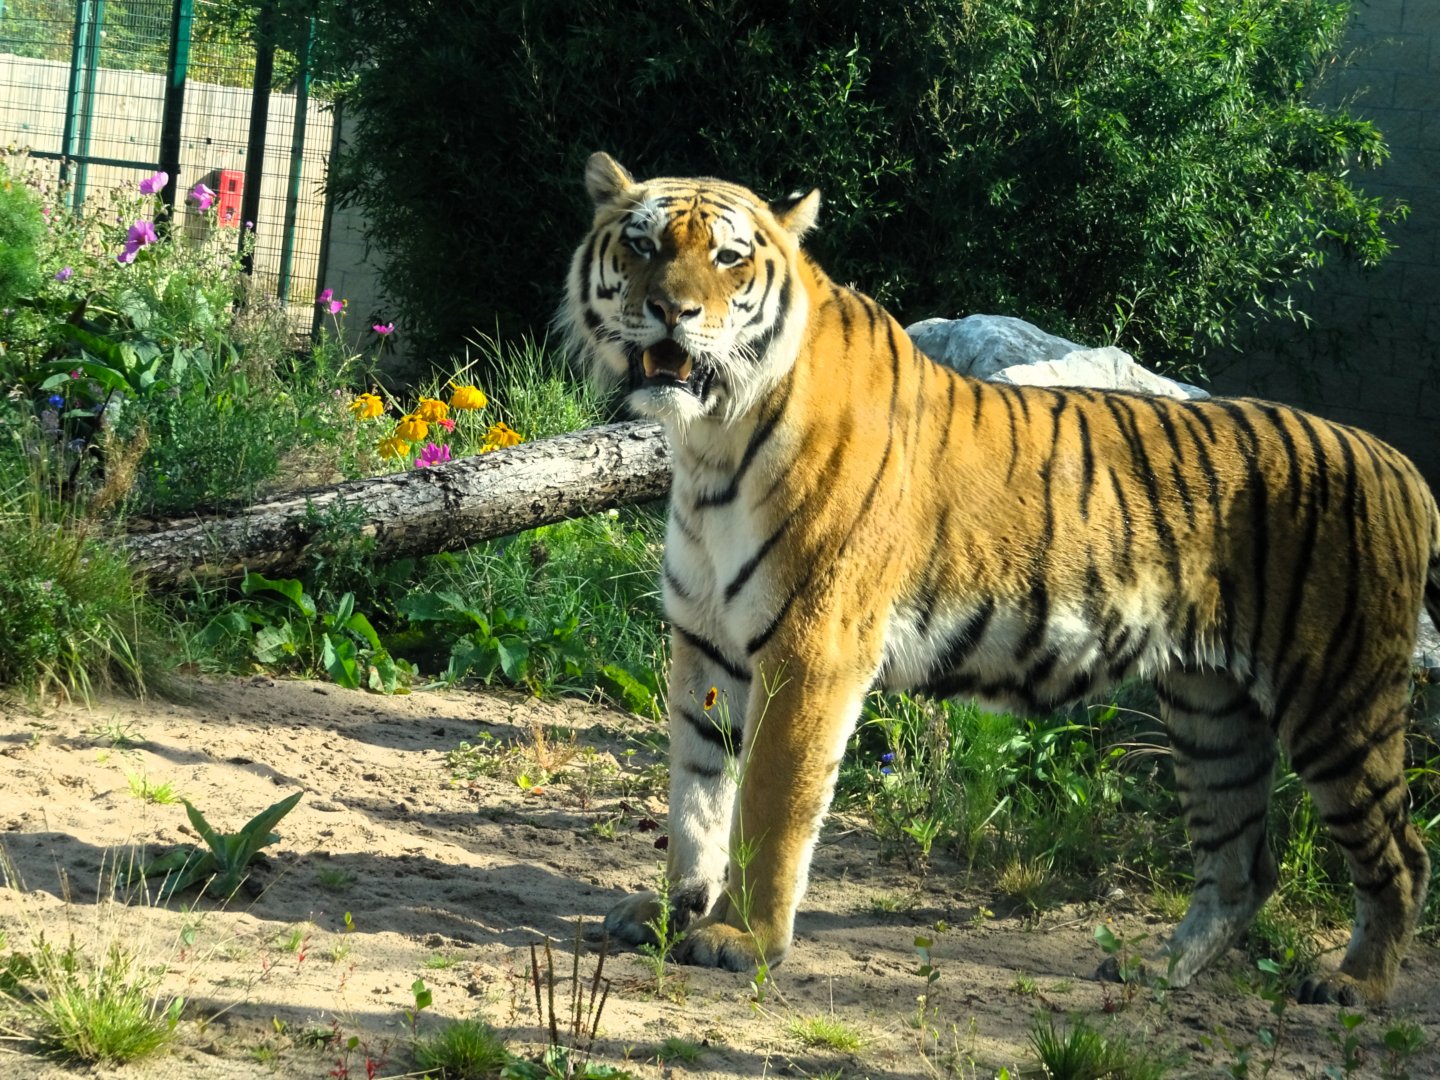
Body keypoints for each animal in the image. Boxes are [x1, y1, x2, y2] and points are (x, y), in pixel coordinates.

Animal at [561, 151, 1440, 1006]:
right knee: (1241, 864)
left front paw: (741, 939)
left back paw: (1354, 983)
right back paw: (1154, 970)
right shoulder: (707, 641)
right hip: (1210, 707)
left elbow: (772, 803)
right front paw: (674, 912)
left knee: (1401, 851)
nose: (672, 311)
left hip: (1336, 697)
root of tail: (1400, 463)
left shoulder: (814, 648)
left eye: (728, 258)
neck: (709, 441)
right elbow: (697, 795)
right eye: (642, 245)